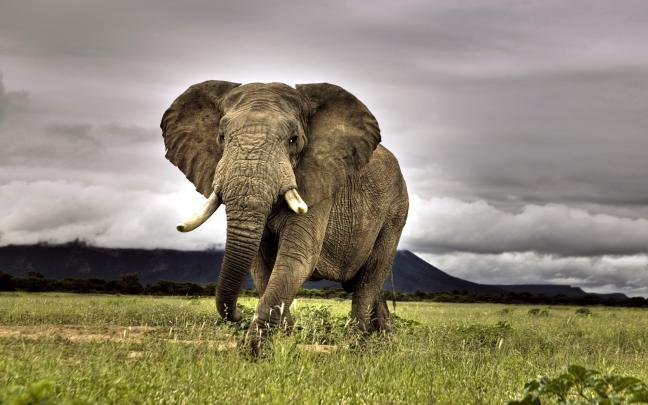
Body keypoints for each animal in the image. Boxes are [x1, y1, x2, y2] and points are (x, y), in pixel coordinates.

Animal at [161, 81, 408, 351]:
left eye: (293, 139)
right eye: (222, 137)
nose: (236, 314)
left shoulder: (319, 183)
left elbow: (296, 258)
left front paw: (254, 352)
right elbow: (261, 267)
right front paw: (284, 340)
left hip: (396, 212)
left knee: (369, 278)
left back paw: (355, 345)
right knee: (367, 284)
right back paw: (384, 339)